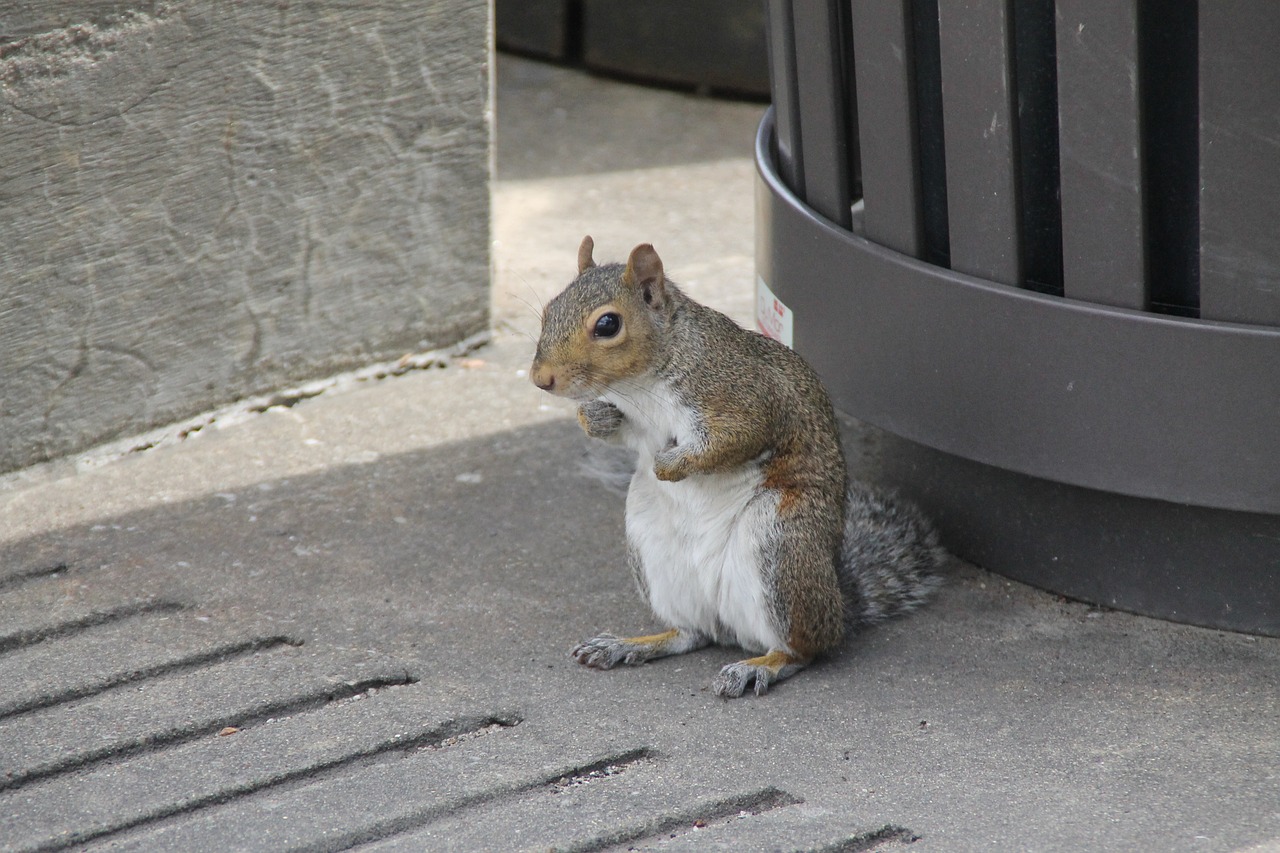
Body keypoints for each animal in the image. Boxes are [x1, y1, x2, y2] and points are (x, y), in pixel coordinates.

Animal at [532, 235, 952, 696]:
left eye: (608, 325)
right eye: (549, 309)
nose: (541, 379)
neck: (639, 384)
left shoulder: (745, 397)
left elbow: (733, 440)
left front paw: (670, 466)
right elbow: (615, 431)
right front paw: (596, 417)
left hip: (782, 544)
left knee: (805, 649)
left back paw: (760, 665)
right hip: (651, 547)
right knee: (690, 634)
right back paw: (631, 644)